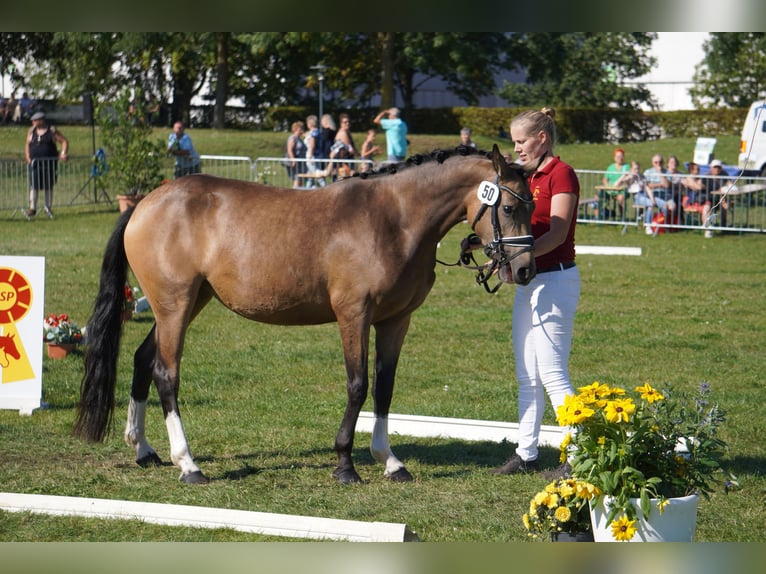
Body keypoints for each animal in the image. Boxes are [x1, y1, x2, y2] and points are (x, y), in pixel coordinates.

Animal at [75, 145, 536, 486]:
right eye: (509, 209)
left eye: (531, 205)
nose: (525, 270)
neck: (394, 219)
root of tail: (145, 203)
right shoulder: (354, 314)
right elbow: (358, 385)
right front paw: (346, 465)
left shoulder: (395, 320)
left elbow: (384, 388)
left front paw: (389, 461)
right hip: (175, 305)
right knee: (165, 373)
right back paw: (188, 464)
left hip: (185, 304)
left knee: (142, 360)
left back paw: (144, 449)